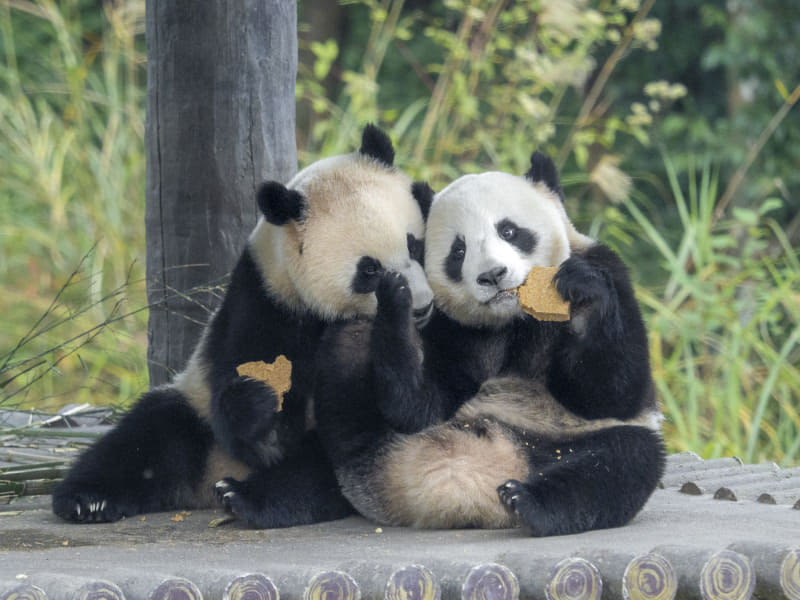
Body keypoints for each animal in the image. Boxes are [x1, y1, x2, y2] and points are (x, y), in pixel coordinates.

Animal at [51, 125, 435, 528]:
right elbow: (240, 373)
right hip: (193, 407)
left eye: (415, 245)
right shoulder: (263, 299)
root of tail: (208, 482)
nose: (422, 307)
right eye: (369, 269)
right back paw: (87, 499)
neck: (323, 313)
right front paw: (261, 408)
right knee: (145, 437)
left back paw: (246, 496)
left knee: (314, 469)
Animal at [312, 151, 665, 536]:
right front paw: (396, 299)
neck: (512, 319)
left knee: (621, 461)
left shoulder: (610, 271)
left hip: (568, 439)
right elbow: (423, 403)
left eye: (508, 231)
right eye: (459, 250)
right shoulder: (451, 328)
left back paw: (529, 502)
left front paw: (582, 295)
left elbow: (612, 394)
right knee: (349, 349)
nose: (492, 275)